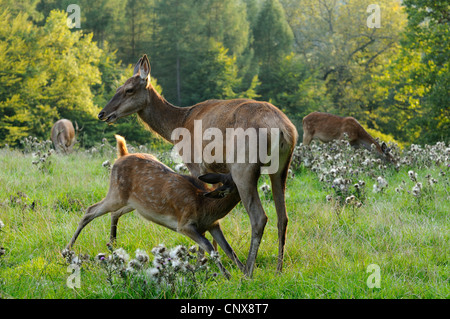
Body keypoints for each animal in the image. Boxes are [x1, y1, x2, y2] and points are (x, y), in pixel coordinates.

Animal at [64, 135, 243, 280]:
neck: (206, 206)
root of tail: (122, 155)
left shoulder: (213, 224)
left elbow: (228, 249)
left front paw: (244, 272)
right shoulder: (185, 224)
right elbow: (209, 246)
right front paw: (227, 275)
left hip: (132, 203)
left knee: (114, 214)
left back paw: (112, 244)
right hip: (116, 194)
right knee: (90, 211)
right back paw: (68, 249)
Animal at [96, 54, 298, 278]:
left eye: (129, 89)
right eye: (117, 87)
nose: (102, 113)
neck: (177, 126)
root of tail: (284, 130)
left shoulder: (196, 163)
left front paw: (203, 261)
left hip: (243, 167)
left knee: (259, 217)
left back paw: (248, 272)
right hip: (281, 167)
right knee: (283, 216)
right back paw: (279, 269)